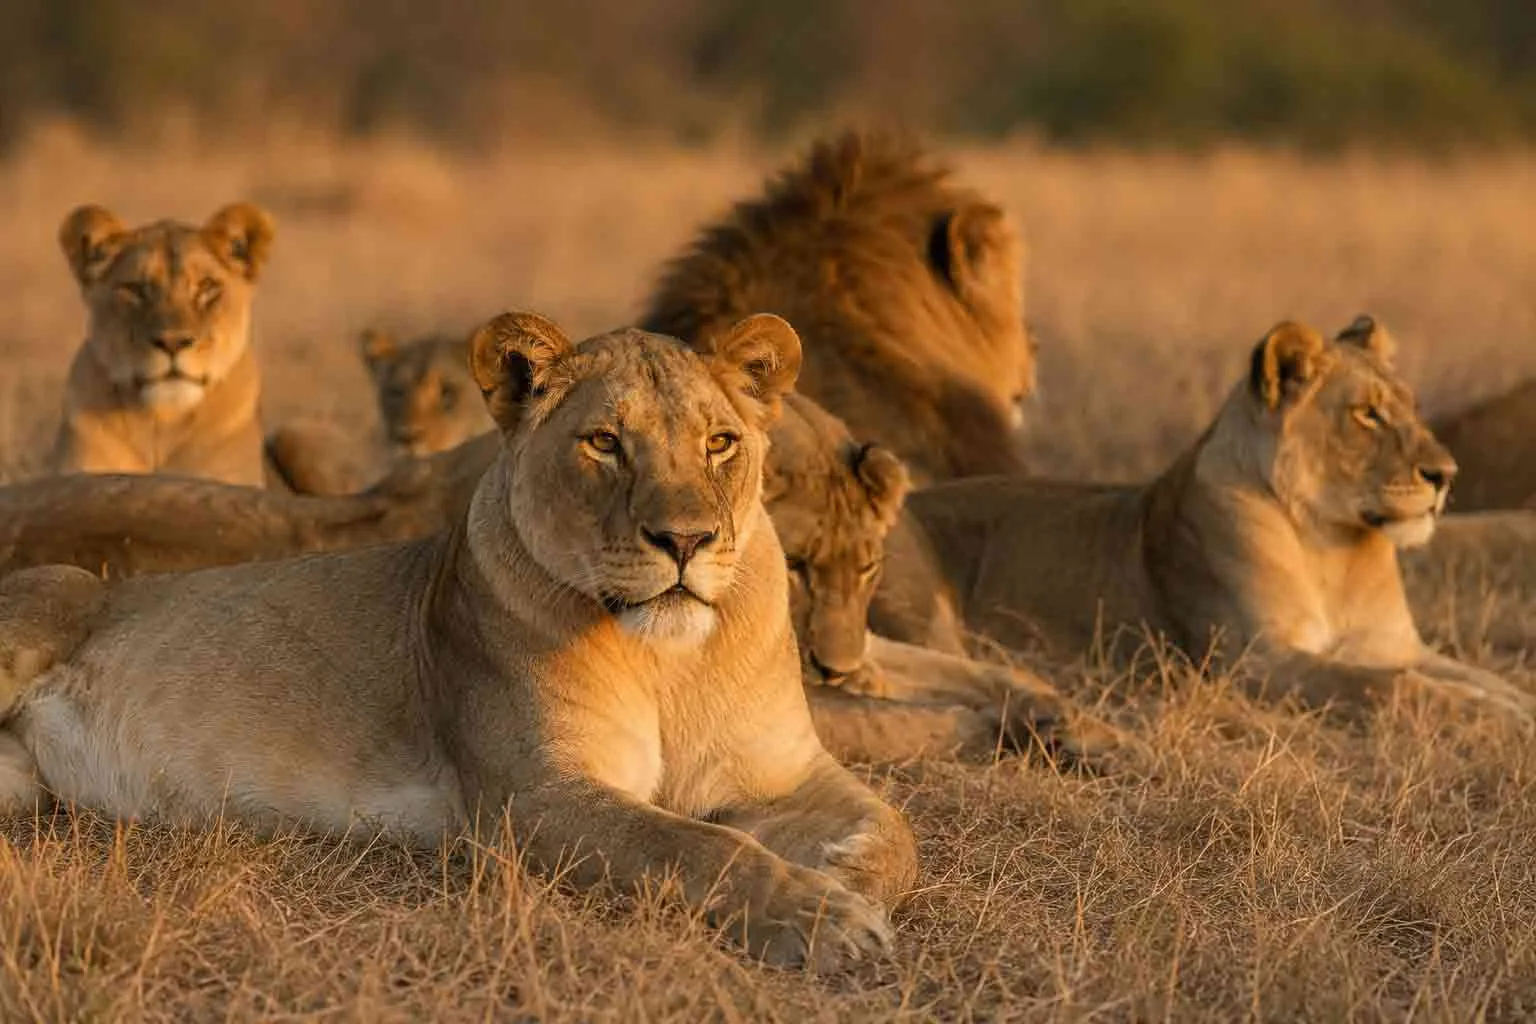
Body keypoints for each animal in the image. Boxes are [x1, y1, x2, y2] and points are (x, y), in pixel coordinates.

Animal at [0, 311, 919, 970]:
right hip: (53, 599)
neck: (672, 658)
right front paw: (822, 917)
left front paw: (842, 883)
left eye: (720, 442)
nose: (686, 540)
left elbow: (893, 836)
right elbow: (698, 847)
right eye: (605, 442)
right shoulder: (533, 796)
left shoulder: (787, 770)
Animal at [882, 315, 1536, 723]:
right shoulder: (1254, 664)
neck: (1330, 548)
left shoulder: (1397, 645)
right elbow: (1395, 688)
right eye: (1366, 414)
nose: (1446, 474)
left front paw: (1516, 708)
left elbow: (1492, 681)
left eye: (1412, 408)